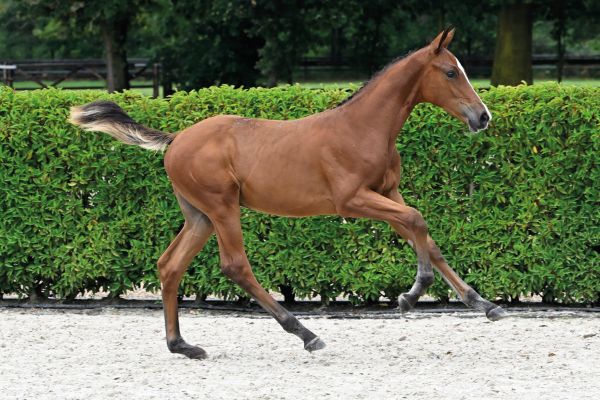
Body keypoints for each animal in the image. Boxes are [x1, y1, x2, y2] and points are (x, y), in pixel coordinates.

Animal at [70, 28, 506, 360]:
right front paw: (411, 295)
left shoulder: (389, 194)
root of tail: (176, 140)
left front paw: (483, 304)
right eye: (450, 72)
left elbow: (426, 238)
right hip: (222, 206)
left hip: (199, 215)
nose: (482, 116)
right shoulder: (352, 200)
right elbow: (418, 221)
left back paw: (182, 345)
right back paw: (305, 332)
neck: (362, 128)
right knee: (235, 266)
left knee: (169, 265)